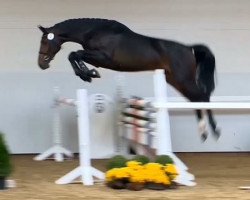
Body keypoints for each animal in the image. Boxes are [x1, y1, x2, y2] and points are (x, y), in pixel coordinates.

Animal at [38, 18, 220, 141]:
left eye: (45, 41)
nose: (41, 64)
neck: (94, 32)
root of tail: (189, 49)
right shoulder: (97, 58)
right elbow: (74, 55)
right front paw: (88, 73)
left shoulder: (102, 58)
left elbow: (74, 54)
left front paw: (88, 74)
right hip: (175, 79)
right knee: (194, 99)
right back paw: (203, 132)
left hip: (183, 78)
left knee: (202, 96)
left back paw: (214, 130)